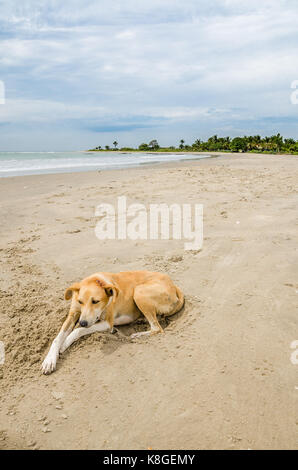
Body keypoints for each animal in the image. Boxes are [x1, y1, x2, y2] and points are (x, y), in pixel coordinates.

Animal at [42, 272, 184, 374]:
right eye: (80, 301)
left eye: (96, 301)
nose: (82, 322)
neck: (96, 281)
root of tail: (173, 286)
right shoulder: (73, 315)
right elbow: (57, 338)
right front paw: (49, 360)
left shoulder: (107, 323)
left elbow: (78, 330)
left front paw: (65, 344)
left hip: (139, 291)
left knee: (157, 328)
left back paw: (138, 335)